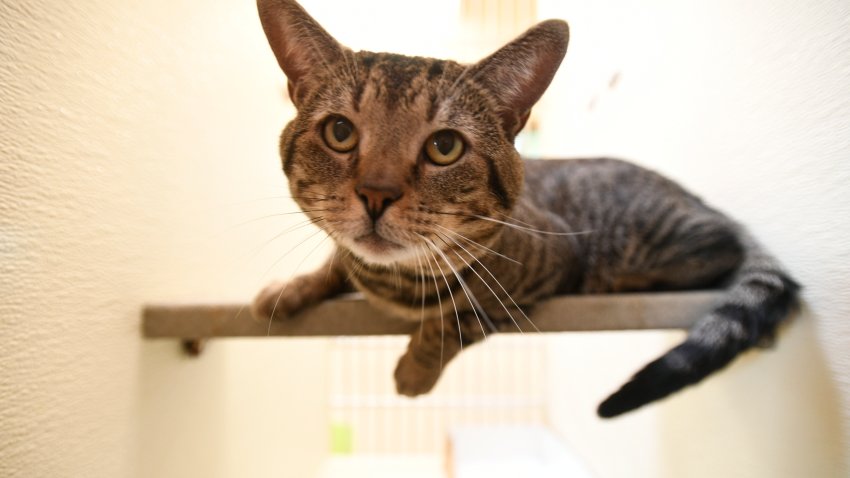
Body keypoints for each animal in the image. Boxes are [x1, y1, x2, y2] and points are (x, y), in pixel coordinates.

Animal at [250, 0, 796, 418]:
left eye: (445, 146)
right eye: (340, 132)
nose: (376, 194)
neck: (393, 283)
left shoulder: (543, 264)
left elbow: (463, 315)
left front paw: (417, 368)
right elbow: (336, 260)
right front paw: (289, 289)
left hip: (659, 241)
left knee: (722, 250)